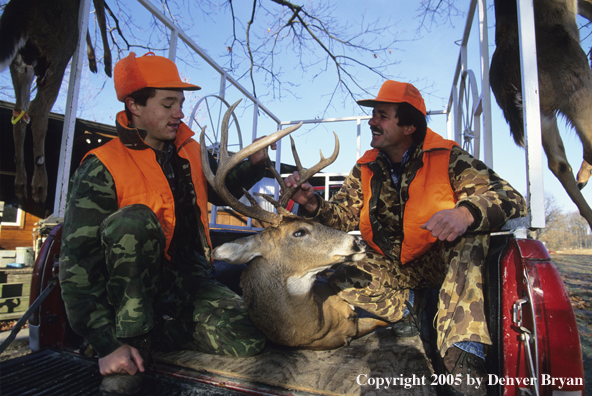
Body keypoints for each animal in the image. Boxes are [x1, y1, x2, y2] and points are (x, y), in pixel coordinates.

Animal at [0, 0, 111, 203]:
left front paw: (95, 61)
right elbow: (100, 15)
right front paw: (104, 62)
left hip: (22, 67)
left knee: (19, 114)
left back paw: (21, 182)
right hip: (58, 53)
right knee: (37, 110)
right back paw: (40, 184)